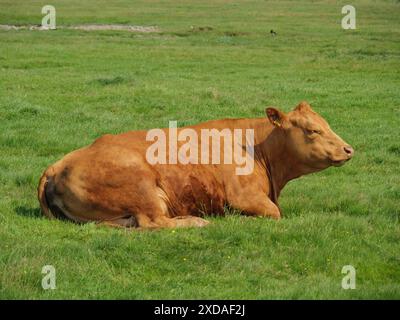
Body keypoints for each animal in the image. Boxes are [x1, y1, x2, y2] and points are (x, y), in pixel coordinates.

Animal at [37, 101, 354, 229]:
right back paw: (198, 222)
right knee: (155, 223)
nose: (348, 149)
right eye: (312, 130)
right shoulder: (245, 196)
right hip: (143, 188)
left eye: (326, 124)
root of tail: (57, 165)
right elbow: (274, 214)